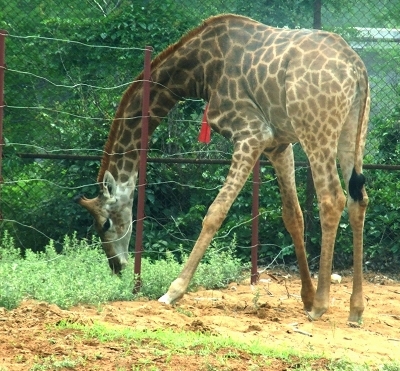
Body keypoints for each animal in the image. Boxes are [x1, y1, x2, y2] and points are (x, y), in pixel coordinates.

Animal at [76, 14, 370, 322]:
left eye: (105, 223)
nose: (117, 267)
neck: (201, 70)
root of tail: (357, 68)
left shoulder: (252, 133)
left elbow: (215, 212)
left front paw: (173, 291)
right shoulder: (278, 144)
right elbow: (293, 216)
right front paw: (306, 296)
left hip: (316, 129)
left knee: (332, 199)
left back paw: (321, 306)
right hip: (354, 129)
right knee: (358, 200)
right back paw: (355, 309)